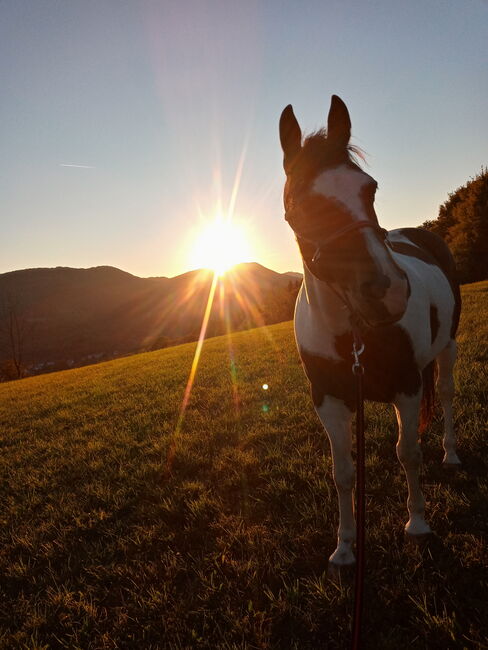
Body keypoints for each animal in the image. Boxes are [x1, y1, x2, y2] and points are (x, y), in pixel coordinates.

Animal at [278, 96, 462, 568]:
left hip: (448, 348)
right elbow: (343, 473)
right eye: (299, 203)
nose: (388, 291)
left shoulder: (407, 386)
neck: (351, 334)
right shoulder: (328, 400)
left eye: (370, 188)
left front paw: (417, 524)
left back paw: (451, 452)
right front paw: (344, 547)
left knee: (446, 394)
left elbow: (407, 453)